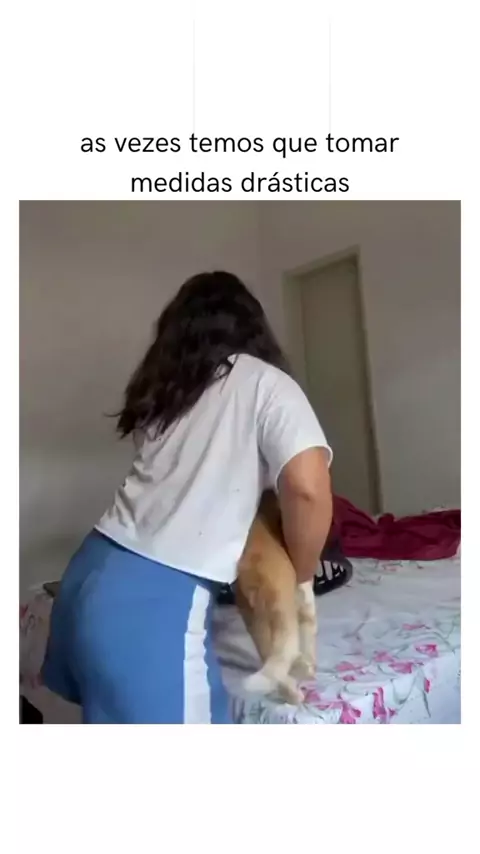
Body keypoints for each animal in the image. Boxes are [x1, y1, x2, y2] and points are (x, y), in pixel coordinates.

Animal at [235, 491, 317, 705]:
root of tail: (254, 574)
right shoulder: (307, 603)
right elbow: (310, 639)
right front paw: (310, 667)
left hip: (258, 626)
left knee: (273, 667)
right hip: (284, 621)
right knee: (284, 659)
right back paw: (299, 686)